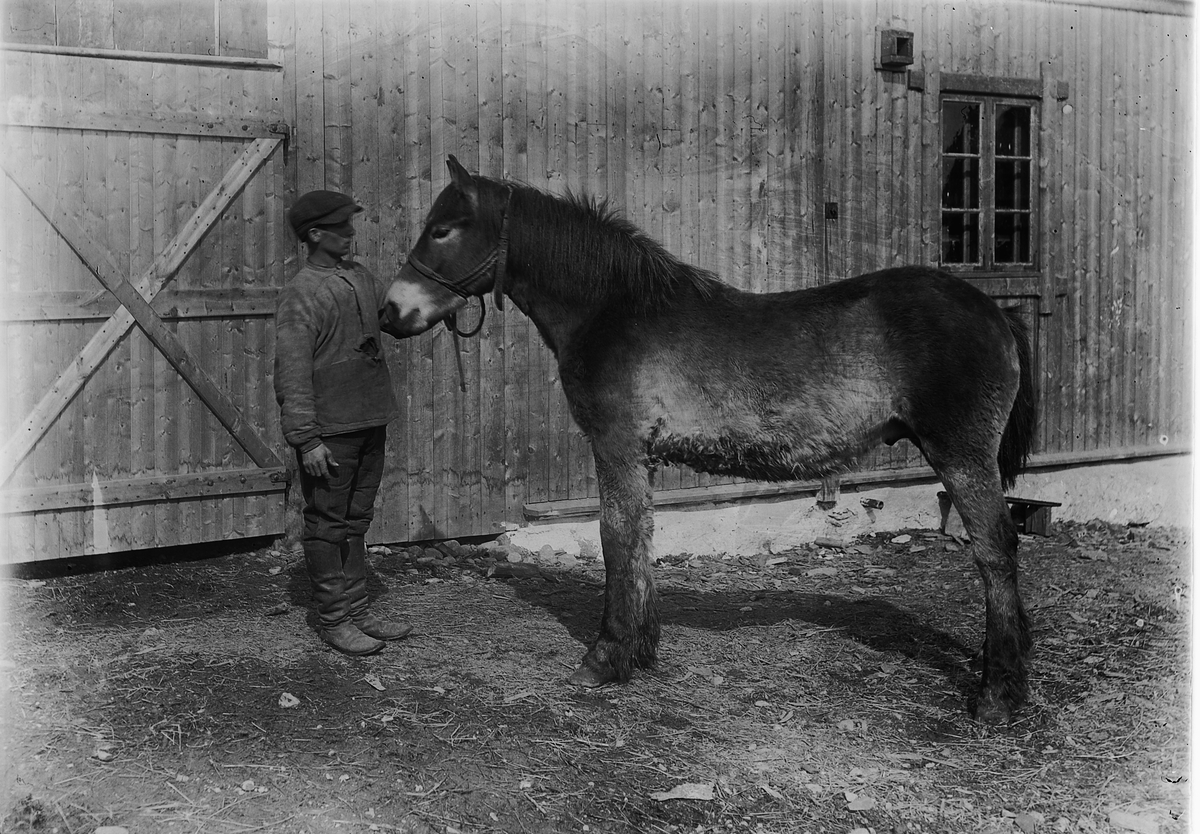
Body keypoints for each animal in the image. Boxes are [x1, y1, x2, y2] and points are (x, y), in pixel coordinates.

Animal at [386, 156, 1041, 724]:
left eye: (442, 229)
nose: (392, 312)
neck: (614, 310)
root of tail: (994, 311)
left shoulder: (616, 447)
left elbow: (615, 538)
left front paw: (605, 657)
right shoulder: (640, 457)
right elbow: (640, 537)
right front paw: (640, 650)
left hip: (962, 456)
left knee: (995, 549)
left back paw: (998, 695)